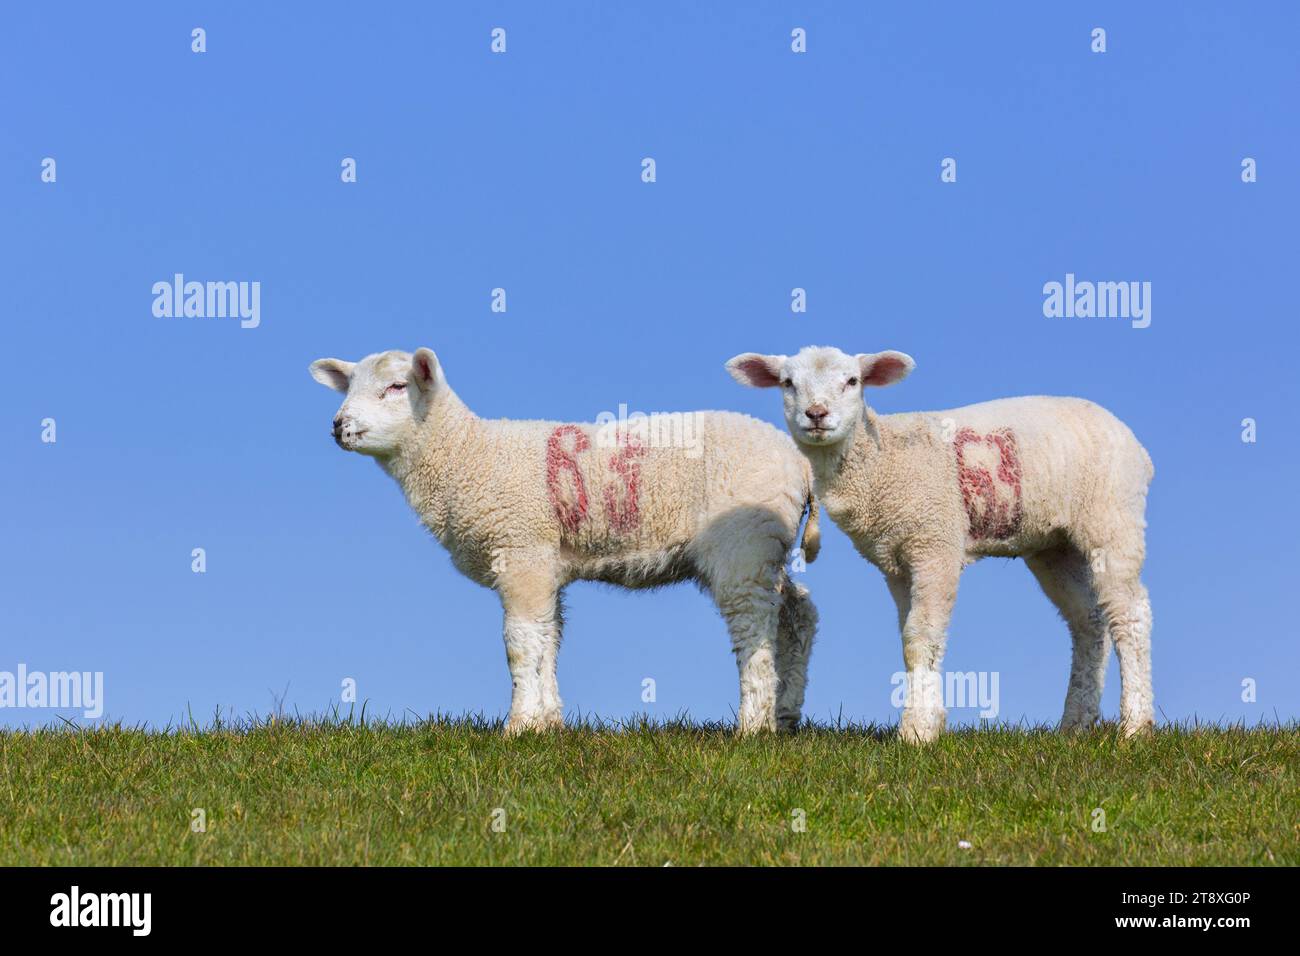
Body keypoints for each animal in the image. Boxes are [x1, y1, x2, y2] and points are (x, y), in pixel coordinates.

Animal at [310, 348, 820, 735]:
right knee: (798, 613)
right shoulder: (545, 562)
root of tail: (799, 463)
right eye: (348, 387)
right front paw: (548, 724)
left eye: (397, 387)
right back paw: (786, 713)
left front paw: (517, 727)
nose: (338, 425)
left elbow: (519, 642)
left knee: (753, 622)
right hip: (768, 547)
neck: (467, 456)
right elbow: (549, 638)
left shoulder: (521, 550)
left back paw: (752, 725)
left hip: (743, 543)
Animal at [727, 345, 1154, 742]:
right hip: (1054, 545)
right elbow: (908, 638)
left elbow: (922, 636)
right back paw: (1075, 724)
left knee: (1130, 613)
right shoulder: (897, 560)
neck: (882, 460)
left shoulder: (935, 544)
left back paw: (1135, 726)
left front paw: (916, 731)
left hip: (1112, 516)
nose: (816, 414)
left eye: (852, 381)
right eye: (787, 383)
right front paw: (929, 721)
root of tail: (1135, 445)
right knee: (1088, 620)